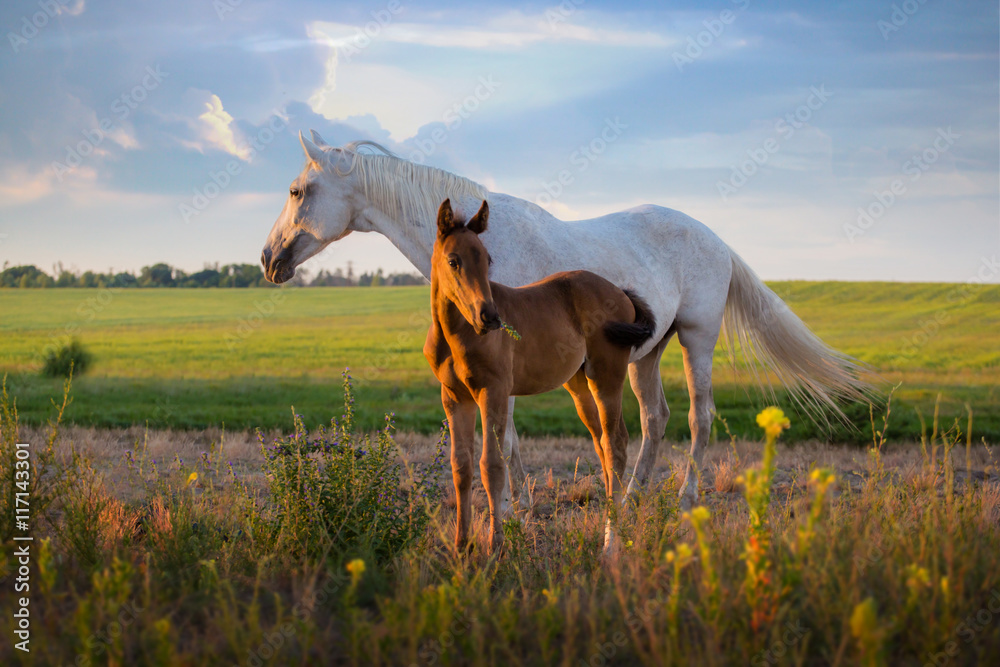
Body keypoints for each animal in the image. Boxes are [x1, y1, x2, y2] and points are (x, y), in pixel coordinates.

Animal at [261, 131, 869, 513]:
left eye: (296, 191)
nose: (268, 259)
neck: (483, 249)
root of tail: (714, 237)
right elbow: (509, 441)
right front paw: (522, 505)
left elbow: (503, 440)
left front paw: (510, 509)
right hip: (647, 352)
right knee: (655, 419)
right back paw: (632, 497)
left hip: (697, 340)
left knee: (700, 418)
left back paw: (685, 501)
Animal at [425, 198, 655, 554]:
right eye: (453, 261)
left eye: (487, 259)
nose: (490, 317)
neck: (457, 334)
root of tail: (621, 291)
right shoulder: (453, 397)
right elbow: (461, 467)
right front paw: (462, 547)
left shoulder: (493, 392)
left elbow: (492, 465)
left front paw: (495, 547)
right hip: (578, 384)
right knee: (603, 445)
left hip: (607, 376)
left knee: (616, 444)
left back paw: (610, 543)